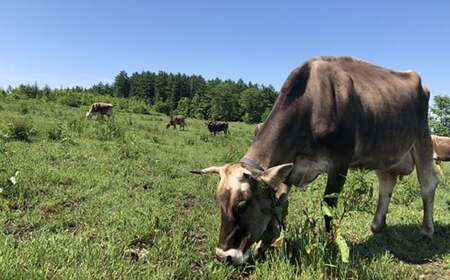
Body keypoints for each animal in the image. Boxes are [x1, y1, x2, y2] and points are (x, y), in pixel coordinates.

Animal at [192, 56, 438, 264]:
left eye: (243, 205)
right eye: (218, 203)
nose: (224, 256)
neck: (311, 103)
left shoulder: (340, 162)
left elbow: (328, 207)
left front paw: (330, 244)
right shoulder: (289, 167)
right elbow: (279, 206)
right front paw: (265, 245)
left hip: (423, 138)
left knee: (428, 184)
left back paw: (427, 230)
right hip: (385, 153)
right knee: (386, 185)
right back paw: (377, 226)